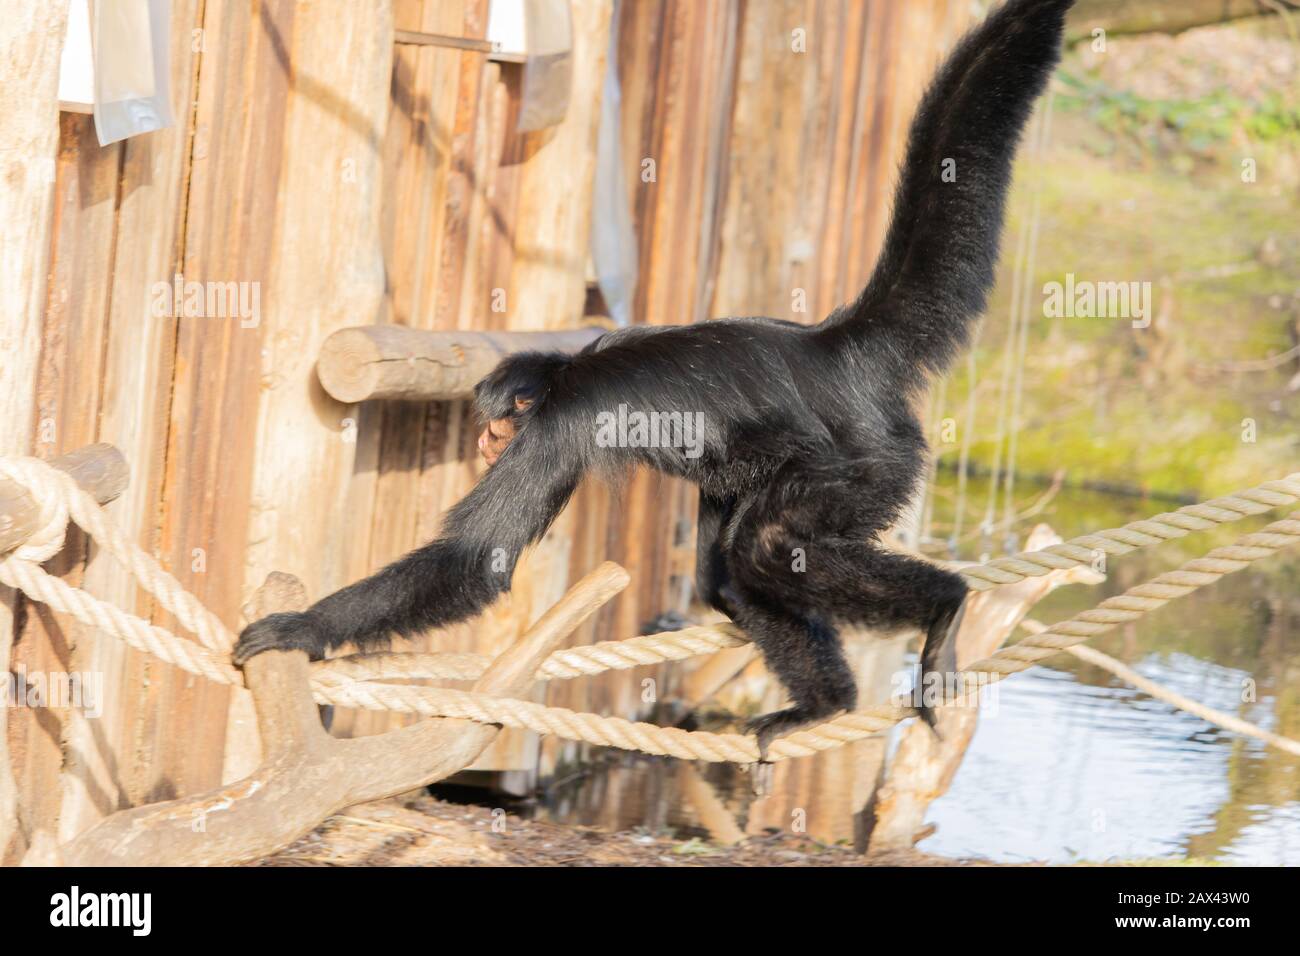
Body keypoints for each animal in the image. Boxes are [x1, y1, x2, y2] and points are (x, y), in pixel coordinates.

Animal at [236, 0, 1076, 754]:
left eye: (501, 424)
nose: (485, 442)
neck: (565, 371)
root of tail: (833, 344)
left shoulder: (560, 424)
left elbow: (478, 559)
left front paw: (302, 628)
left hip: (866, 460)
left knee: (767, 544)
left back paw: (945, 605)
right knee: (729, 572)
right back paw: (826, 705)